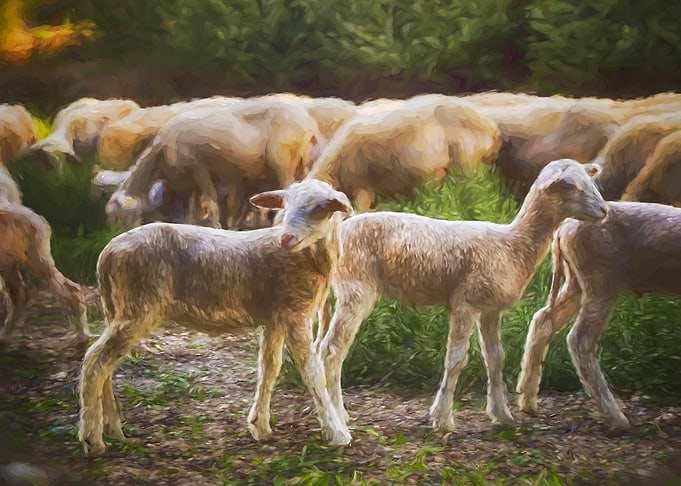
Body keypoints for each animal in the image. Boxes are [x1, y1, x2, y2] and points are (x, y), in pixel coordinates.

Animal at [78, 178, 354, 457]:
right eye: (285, 205)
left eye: (319, 208)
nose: (286, 239)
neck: (310, 259)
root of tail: (107, 253)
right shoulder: (295, 314)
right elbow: (312, 370)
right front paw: (337, 433)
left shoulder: (275, 318)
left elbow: (269, 367)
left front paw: (260, 426)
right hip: (136, 309)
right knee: (94, 362)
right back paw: (92, 439)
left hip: (116, 310)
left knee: (105, 365)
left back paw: (114, 430)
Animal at [316, 159, 608, 435]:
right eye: (569, 186)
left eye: (589, 179)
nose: (604, 210)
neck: (513, 245)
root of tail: (337, 233)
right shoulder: (464, 304)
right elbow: (456, 360)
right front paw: (443, 419)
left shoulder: (490, 310)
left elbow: (495, 358)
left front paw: (502, 415)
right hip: (356, 290)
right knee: (332, 350)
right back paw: (340, 416)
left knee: (322, 348)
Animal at [516, 201, 681, 428]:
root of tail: (563, 228)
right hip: (599, 281)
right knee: (579, 339)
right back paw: (617, 417)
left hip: (574, 281)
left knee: (542, 320)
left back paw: (527, 402)